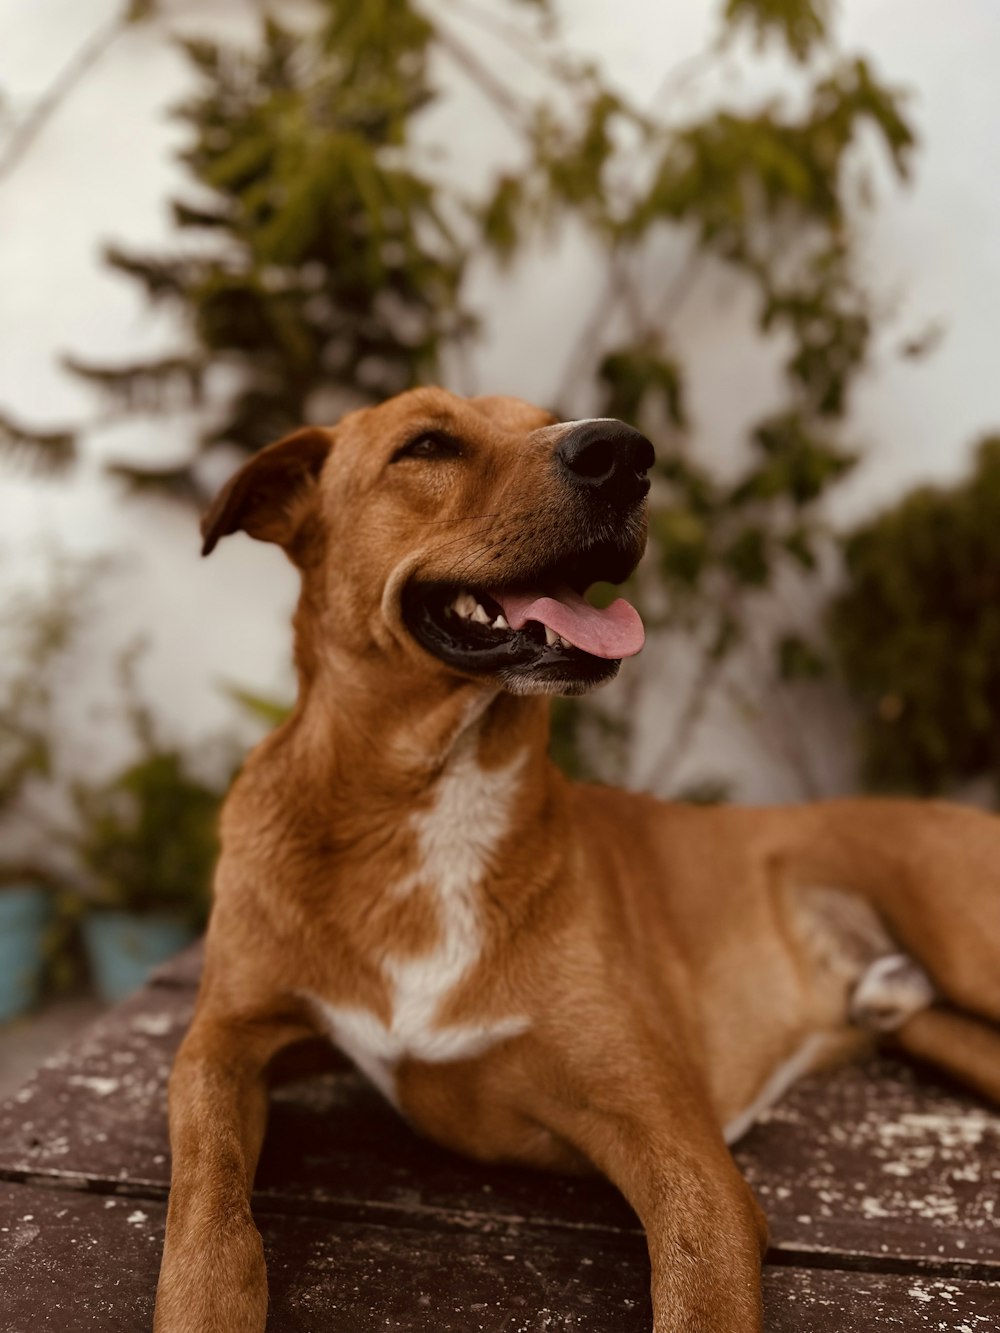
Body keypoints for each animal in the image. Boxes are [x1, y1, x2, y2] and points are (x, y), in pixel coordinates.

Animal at [152, 389, 1000, 1333]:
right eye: (427, 444)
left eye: (546, 417)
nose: (624, 452)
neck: (434, 801)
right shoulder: (224, 1038)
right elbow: (208, 1204)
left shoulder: (681, 1151)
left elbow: (699, 1282)